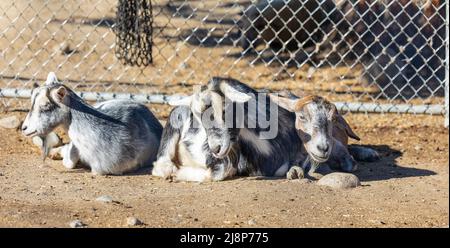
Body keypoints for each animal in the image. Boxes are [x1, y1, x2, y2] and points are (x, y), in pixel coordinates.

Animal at [152, 77, 306, 182]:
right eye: (198, 118)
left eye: (224, 110)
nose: (215, 149)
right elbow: (213, 173)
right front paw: (177, 173)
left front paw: (295, 171)